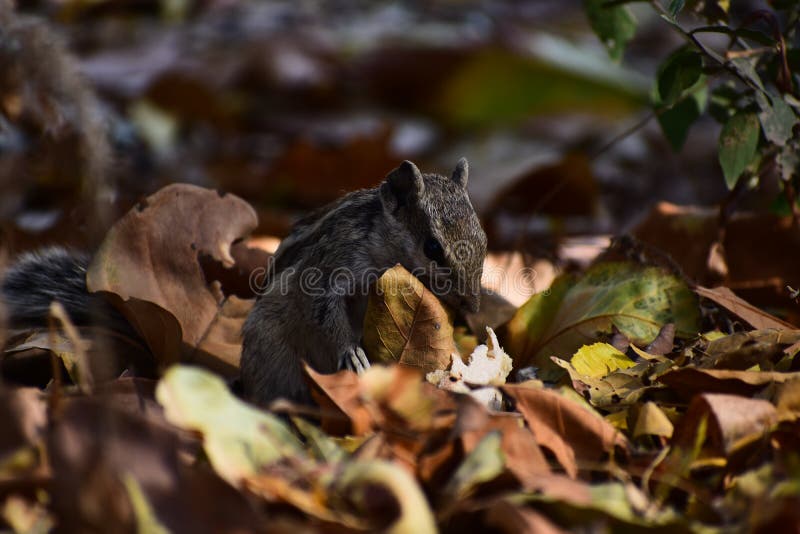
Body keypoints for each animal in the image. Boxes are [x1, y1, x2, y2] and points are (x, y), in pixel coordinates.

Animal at [239, 159, 488, 406]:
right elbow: (323, 312)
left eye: (484, 240)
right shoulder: (330, 268)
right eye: (432, 247)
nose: (474, 306)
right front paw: (351, 352)